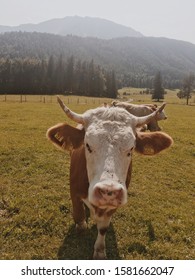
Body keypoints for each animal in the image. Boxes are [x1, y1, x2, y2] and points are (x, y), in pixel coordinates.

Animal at [46, 97, 173, 260]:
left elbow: (103, 228)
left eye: (131, 148)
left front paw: (99, 251)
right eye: (87, 145)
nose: (107, 190)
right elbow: (80, 219)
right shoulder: (74, 192)